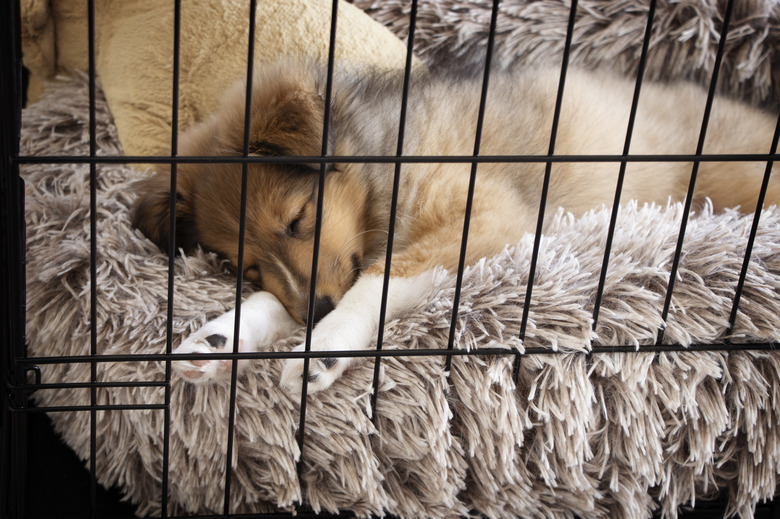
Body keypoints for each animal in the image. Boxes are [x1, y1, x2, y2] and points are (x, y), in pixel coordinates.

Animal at [134, 61, 780, 394]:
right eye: (242, 264)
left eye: (298, 219)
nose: (316, 313)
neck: (383, 161)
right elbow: (280, 297)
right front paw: (215, 340)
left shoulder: (485, 216)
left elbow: (377, 280)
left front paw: (324, 346)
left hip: (736, 177)